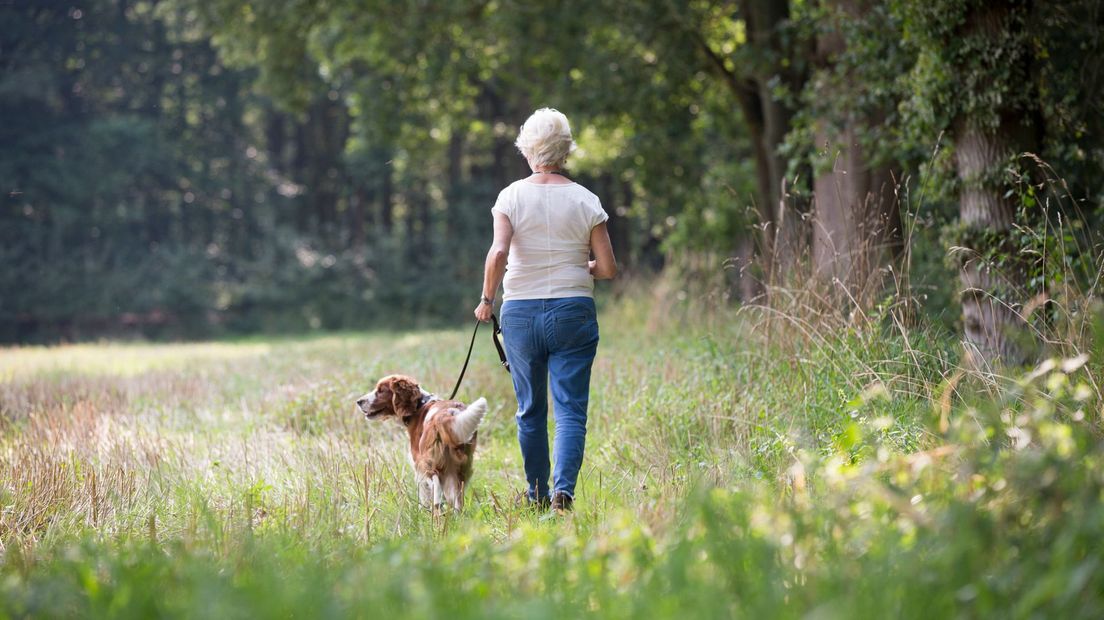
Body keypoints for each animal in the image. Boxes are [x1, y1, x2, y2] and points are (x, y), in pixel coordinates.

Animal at [357, 375, 487, 509]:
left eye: (381, 390)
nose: (359, 401)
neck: (418, 406)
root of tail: (447, 414)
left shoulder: (419, 466)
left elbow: (423, 495)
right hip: (461, 469)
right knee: (457, 501)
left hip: (429, 466)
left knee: (436, 495)